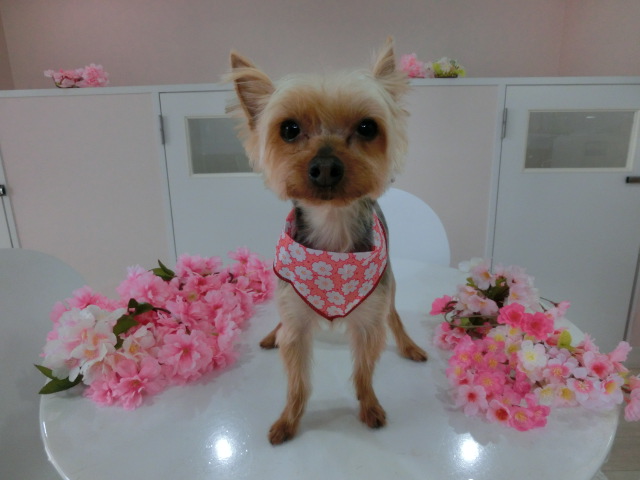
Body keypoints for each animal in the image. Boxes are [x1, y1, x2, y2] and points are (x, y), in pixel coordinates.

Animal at [227, 37, 427, 445]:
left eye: (368, 127)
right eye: (289, 129)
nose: (325, 167)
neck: (332, 234)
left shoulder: (369, 319)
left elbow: (364, 370)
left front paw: (370, 406)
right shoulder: (295, 318)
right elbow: (297, 381)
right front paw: (288, 420)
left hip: (389, 285)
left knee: (394, 316)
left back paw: (409, 345)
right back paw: (271, 334)